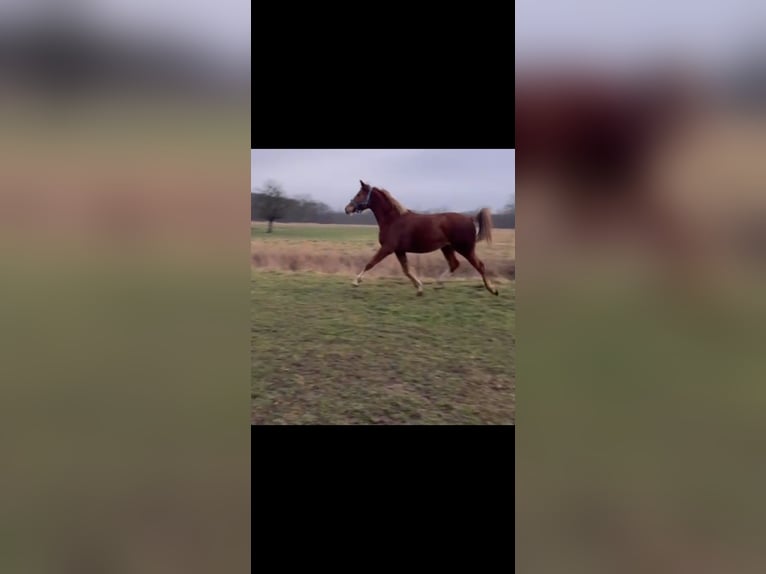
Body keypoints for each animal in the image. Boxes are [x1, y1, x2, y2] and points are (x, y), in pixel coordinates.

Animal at [344, 180, 499, 296]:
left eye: (359, 194)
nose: (347, 209)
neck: (393, 220)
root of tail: (470, 218)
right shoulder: (399, 250)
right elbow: (406, 270)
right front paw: (419, 288)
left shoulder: (388, 248)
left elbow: (371, 263)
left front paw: (355, 281)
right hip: (447, 247)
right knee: (454, 264)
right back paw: (438, 284)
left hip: (465, 248)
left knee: (479, 265)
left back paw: (492, 289)